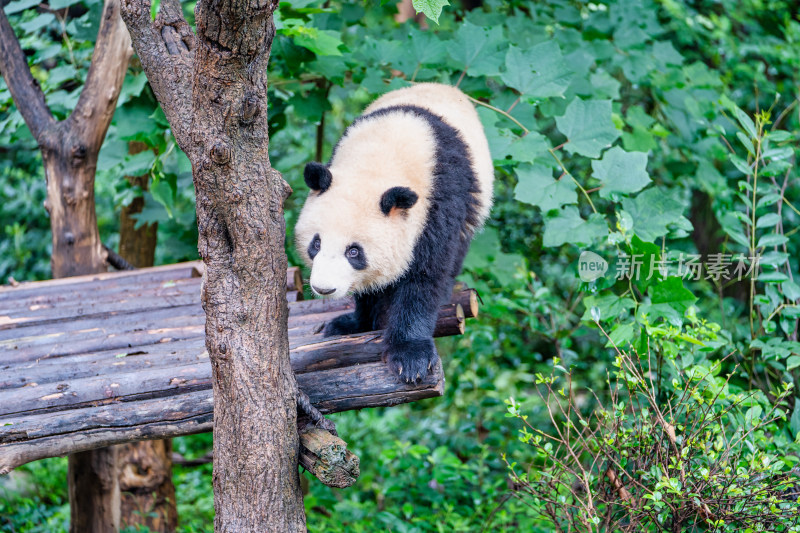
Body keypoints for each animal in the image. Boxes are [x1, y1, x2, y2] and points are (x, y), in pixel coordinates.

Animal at [294, 82, 494, 382]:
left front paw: (410, 357)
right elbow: (369, 286)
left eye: (354, 252)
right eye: (315, 244)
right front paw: (356, 322)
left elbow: (425, 275)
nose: (323, 288)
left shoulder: (440, 200)